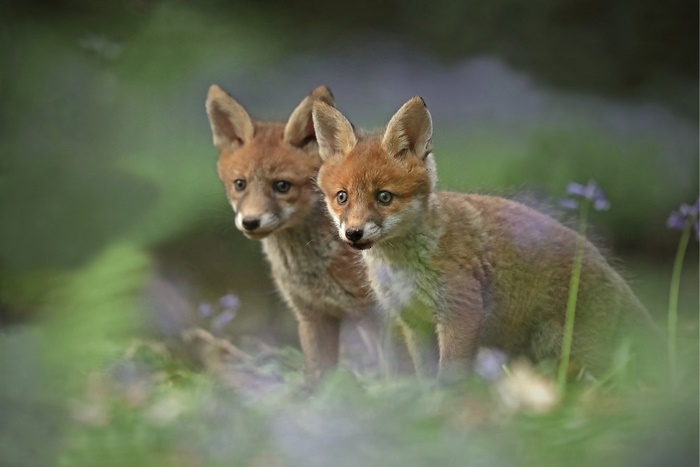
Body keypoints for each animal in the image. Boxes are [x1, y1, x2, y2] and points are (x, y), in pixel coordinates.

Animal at [205, 84, 381, 387]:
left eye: (282, 186)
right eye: (240, 184)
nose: (250, 222)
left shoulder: (374, 315)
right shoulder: (313, 316)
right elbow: (318, 379)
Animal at [312, 96, 656, 381]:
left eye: (384, 197)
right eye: (342, 197)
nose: (353, 233)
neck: (402, 267)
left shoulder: (460, 313)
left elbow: (448, 378)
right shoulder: (414, 321)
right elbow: (425, 379)